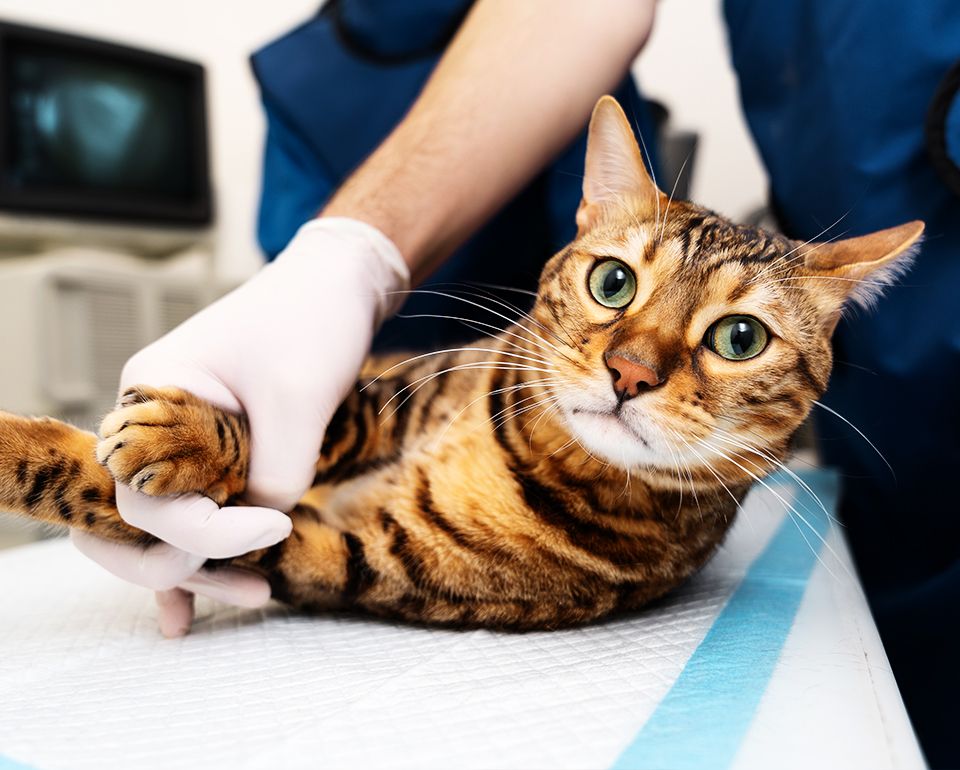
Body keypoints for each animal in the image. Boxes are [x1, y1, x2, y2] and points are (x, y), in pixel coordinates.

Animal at [0, 96, 924, 628]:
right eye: (614, 282)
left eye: (740, 338)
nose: (630, 374)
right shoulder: (391, 388)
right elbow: (318, 420)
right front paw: (191, 433)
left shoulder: (346, 556)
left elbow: (108, 493)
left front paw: (32, 448)